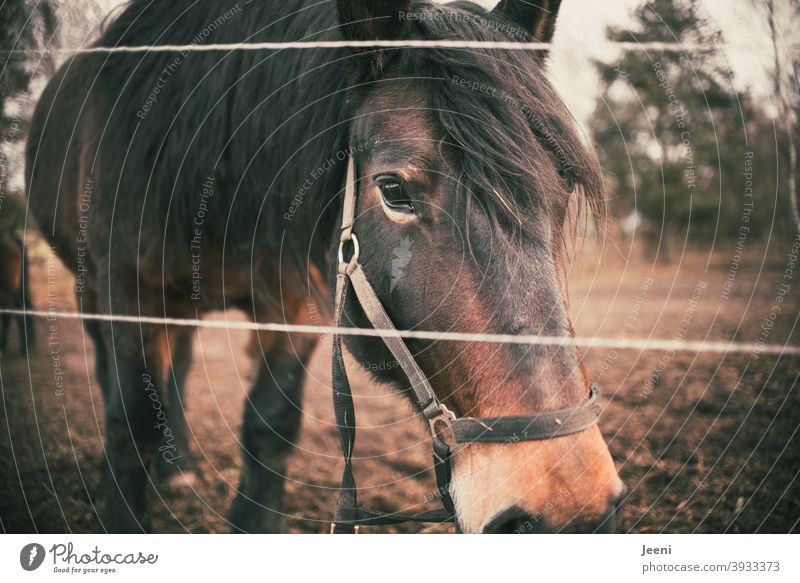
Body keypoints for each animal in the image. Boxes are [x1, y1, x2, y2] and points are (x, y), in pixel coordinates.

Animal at [25, 0, 624, 532]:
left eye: (563, 191)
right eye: (393, 190)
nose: (571, 504)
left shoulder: (293, 303)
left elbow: (270, 424)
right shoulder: (129, 291)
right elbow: (131, 424)